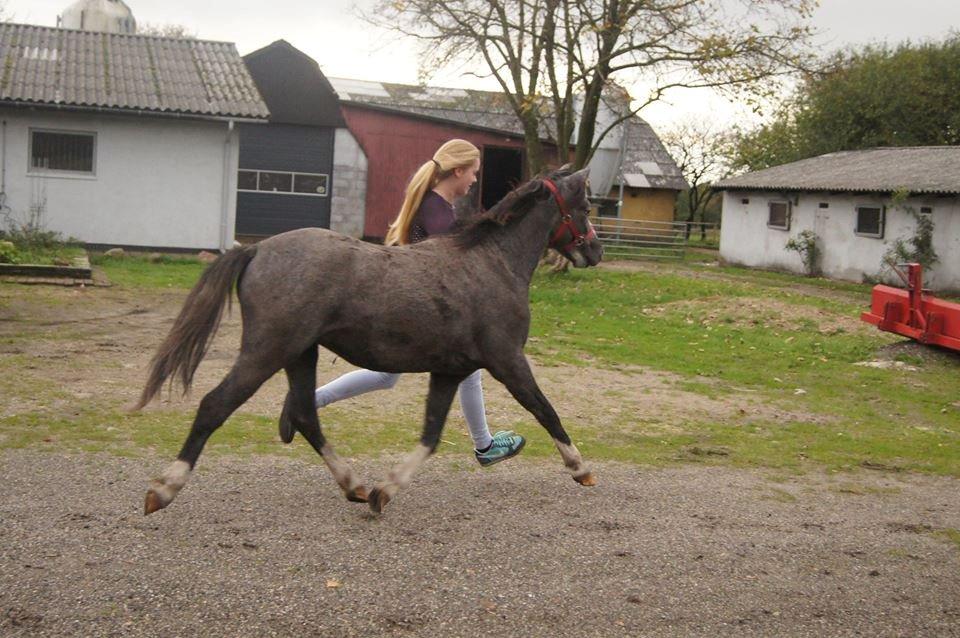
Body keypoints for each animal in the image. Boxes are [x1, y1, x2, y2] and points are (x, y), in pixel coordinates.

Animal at [137, 166, 600, 516]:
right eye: (587, 207)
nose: (595, 252)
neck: (492, 263)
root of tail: (256, 250)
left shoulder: (450, 371)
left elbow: (431, 435)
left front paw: (383, 491)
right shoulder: (507, 360)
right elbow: (545, 410)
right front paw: (580, 468)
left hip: (300, 354)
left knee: (305, 414)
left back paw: (354, 485)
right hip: (267, 351)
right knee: (215, 405)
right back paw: (163, 489)